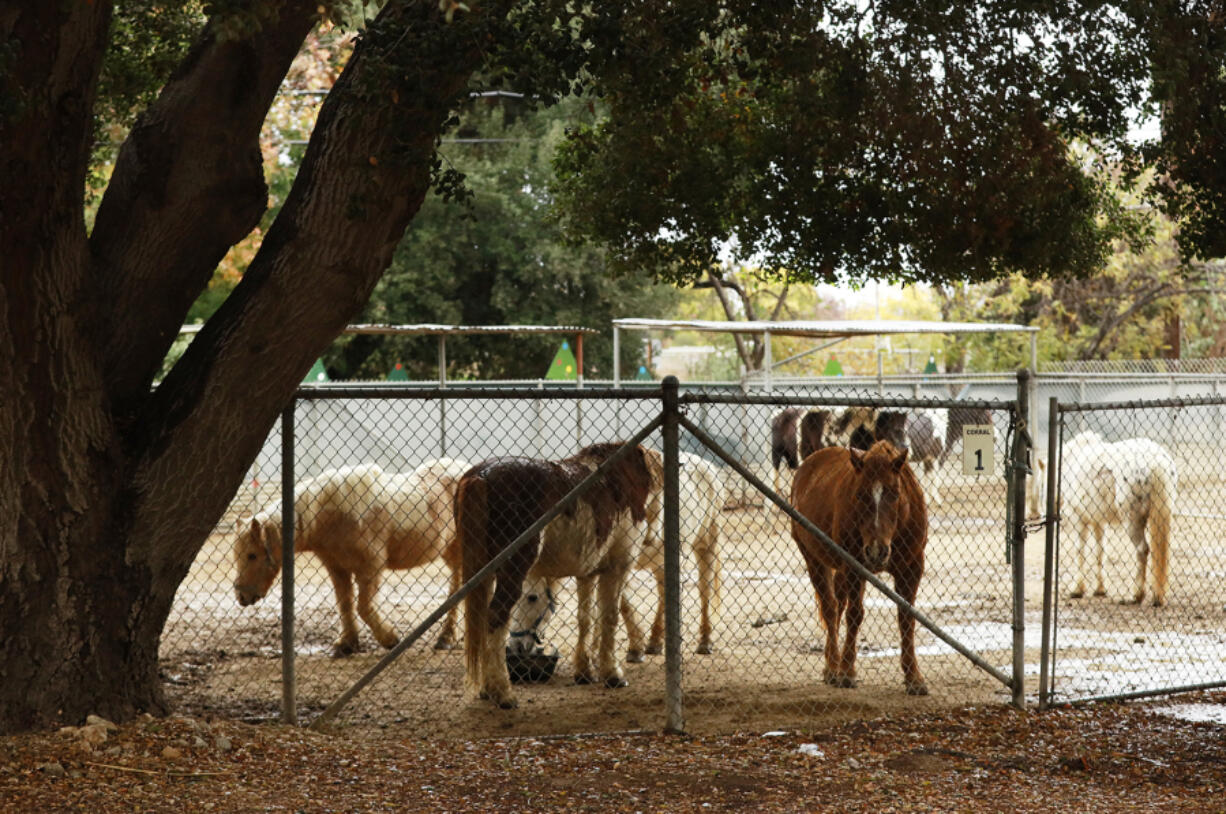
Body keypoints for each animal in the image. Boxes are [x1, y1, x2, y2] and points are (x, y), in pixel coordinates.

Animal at [458, 441, 662, 711]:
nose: (518, 648)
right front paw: (613, 674)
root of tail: (481, 476)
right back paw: (503, 693)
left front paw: (585, 672)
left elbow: (586, 619)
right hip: (511, 569)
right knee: (495, 617)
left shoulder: (588, 573)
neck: (618, 479)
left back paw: (486, 689)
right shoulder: (617, 568)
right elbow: (609, 618)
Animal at [784, 438, 926, 691]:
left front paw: (913, 677)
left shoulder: (911, 568)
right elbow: (855, 614)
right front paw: (847, 671)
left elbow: (906, 618)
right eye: (860, 495)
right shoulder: (854, 568)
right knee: (831, 608)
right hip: (814, 559)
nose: (877, 551)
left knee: (838, 603)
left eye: (895, 493)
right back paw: (833, 667)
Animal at [1059, 431, 1172, 603]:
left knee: (1142, 550)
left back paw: (1137, 595)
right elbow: (1100, 552)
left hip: (1132, 521)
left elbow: (1080, 551)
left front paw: (1077, 589)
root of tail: (1154, 461)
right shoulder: (1098, 522)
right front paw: (1100, 589)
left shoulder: (1078, 518)